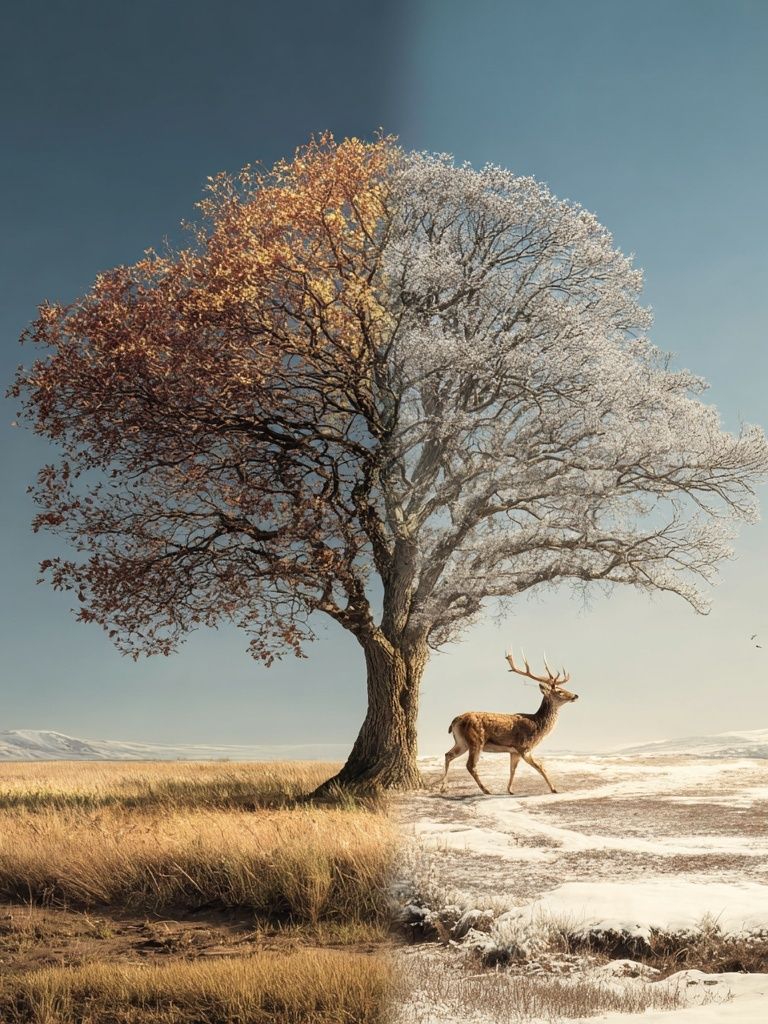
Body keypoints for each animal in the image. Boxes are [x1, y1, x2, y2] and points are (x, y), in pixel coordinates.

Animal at [438, 647, 579, 796]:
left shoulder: (514, 751)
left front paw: (510, 790)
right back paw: (486, 790)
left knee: (448, 755)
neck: (537, 726)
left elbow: (513, 770)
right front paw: (554, 789)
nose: (575, 695)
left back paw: (443, 788)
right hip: (476, 740)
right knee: (470, 765)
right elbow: (540, 766)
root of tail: (455, 720)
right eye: (559, 691)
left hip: (461, 741)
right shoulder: (524, 747)